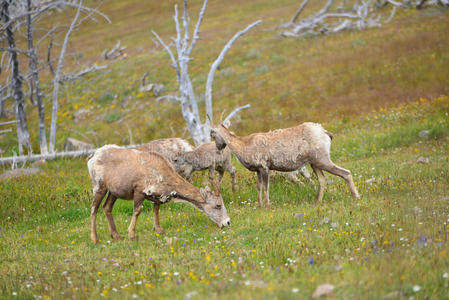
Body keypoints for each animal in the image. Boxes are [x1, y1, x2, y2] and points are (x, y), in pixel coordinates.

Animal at [87, 145, 229, 244]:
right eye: (218, 205)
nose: (227, 222)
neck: (162, 175)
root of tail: (92, 156)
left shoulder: (156, 196)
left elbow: (156, 209)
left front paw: (158, 229)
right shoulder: (139, 191)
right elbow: (137, 211)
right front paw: (132, 234)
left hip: (113, 192)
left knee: (107, 207)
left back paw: (116, 235)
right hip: (99, 186)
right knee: (94, 208)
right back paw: (95, 239)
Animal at [210, 122, 360, 206]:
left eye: (212, 134)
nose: (218, 147)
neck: (244, 145)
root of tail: (325, 133)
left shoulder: (264, 168)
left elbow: (266, 188)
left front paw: (267, 205)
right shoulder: (258, 171)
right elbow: (259, 188)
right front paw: (259, 205)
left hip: (323, 161)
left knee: (346, 173)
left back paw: (356, 198)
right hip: (315, 164)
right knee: (322, 180)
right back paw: (317, 202)